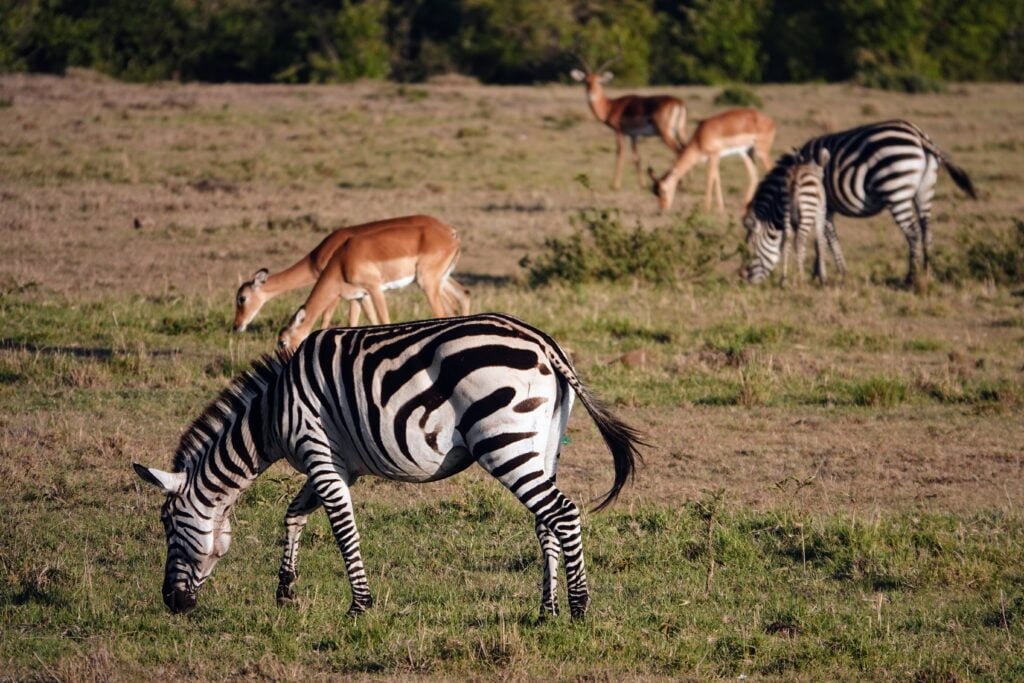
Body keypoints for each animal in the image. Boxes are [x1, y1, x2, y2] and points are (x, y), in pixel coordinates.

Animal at [132, 313, 643, 622]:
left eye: (167, 524)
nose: (171, 604)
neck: (272, 413)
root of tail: (543, 342)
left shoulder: (318, 451)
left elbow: (343, 531)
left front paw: (359, 606)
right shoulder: (336, 463)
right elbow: (294, 514)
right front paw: (286, 590)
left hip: (503, 441)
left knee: (563, 513)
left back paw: (578, 608)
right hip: (542, 443)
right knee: (545, 521)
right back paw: (546, 610)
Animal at [741, 118, 970, 286]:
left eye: (751, 250)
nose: (746, 279)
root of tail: (918, 135)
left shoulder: (823, 206)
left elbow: (828, 238)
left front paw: (834, 274)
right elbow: (820, 240)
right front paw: (817, 273)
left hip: (895, 189)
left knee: (912, 233)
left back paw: (910, 279)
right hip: (925, 189)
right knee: (926, 230)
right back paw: (926, 274)